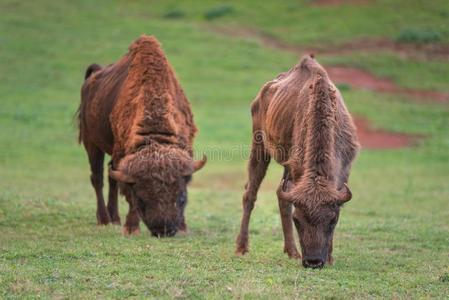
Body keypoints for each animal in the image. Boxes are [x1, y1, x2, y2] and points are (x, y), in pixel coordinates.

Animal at [77, 35, 206, 237]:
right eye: (142, 199)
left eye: (181, 197)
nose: (164, 230)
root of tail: (93, 76)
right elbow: (126, 193)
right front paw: (131, 228)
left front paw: (184, 228)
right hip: (92, 143)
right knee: (97, 178)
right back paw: (104, 219)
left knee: (111, 179)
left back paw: (115, 218)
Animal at [236, 54, 358, 268]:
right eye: (297, 220)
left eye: (333, 220)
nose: (313, 261)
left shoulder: (344, 167)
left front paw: (331, 257)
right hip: (259, 147)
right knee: (250, 194)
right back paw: (242, 248)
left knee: (280, 197)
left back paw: (291, 251)